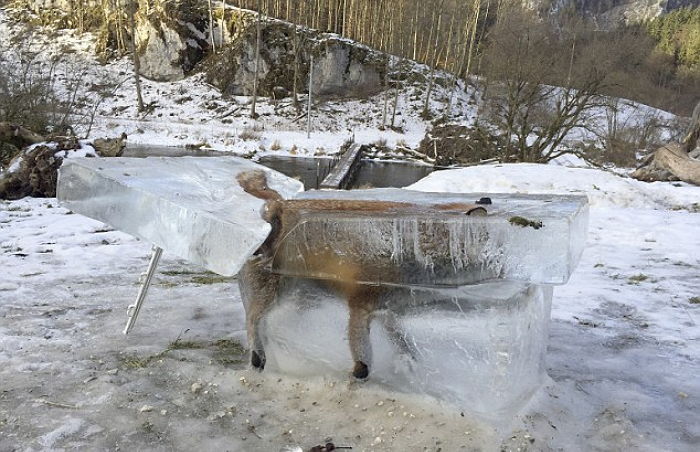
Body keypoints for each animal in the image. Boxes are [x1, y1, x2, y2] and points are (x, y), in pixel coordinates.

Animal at [237, 170, 486, 378]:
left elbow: (402, 340)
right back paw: (258, 356)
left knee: (272, 323)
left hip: (303, 298)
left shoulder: (387, 308)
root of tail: (280, 204)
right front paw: (359, 375)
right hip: (274, 293)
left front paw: (408, 362)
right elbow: (363, 356)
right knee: (253, 320)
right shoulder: (360, 304)